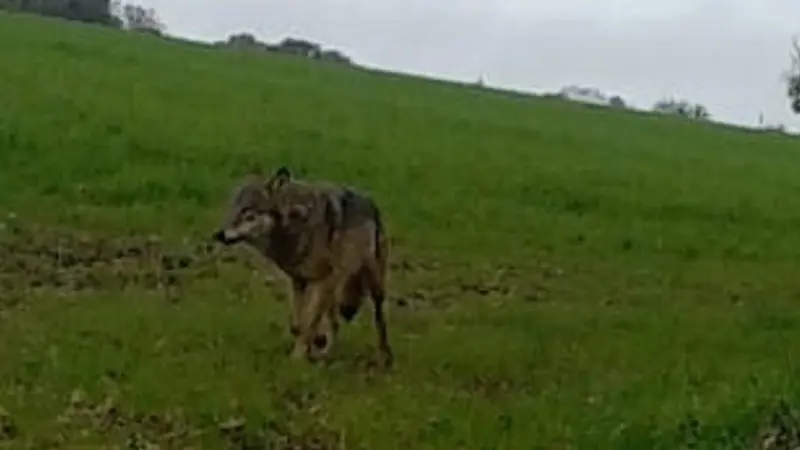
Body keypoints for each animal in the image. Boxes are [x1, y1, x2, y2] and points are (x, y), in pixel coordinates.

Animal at [211, 166, 393, 367]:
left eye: (248, 213)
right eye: (232, 210)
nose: (219, 234)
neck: (298, 224)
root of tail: (372, 205)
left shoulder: (321, 282)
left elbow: (308, 324)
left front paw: (297, 358)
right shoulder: (298, 281)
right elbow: (297, 324)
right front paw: (308, 350)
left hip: (372, 284)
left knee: (379, 320)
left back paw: (384, 357)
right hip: (333, 291)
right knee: (334, 323)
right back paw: (325, 354)